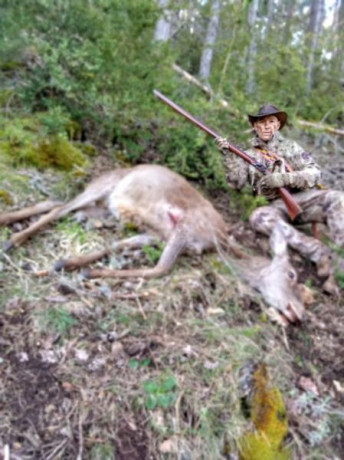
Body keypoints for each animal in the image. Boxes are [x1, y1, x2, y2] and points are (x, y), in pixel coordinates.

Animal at [0, 164, 310, 322]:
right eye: (292, 274)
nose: (299, 313)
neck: (218, 243)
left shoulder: (158, 234)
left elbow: (117, 247)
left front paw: (70, 263)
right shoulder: (184, 228)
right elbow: (161, 268)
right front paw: (87, 272)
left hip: (101, 208)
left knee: (55, 203)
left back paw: (7, 221)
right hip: (101, 187)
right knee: (59, 209)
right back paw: (13, 240)